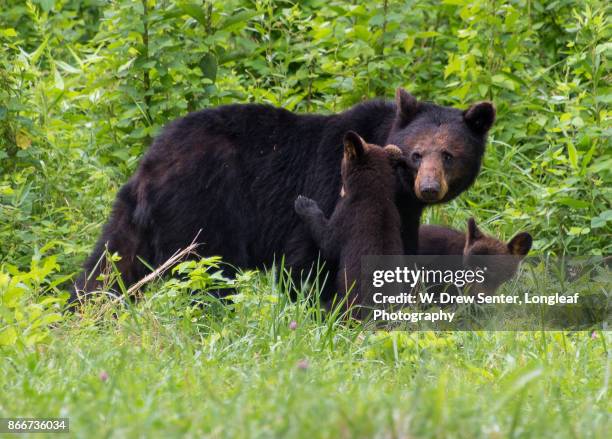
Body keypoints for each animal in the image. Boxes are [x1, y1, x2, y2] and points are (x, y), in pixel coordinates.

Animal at [294, 131, 404, 312]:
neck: (374, 193)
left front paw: (304, 203)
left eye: (341, 167)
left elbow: (328, 241)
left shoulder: (348, 216)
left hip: (345, 302)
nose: (340, 190)